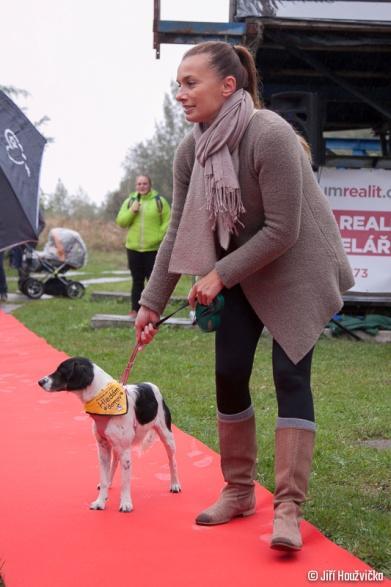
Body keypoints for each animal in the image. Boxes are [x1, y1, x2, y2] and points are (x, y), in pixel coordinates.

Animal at [39, 356, 181, 512]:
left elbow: (125, 481)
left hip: (167, 436)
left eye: (62, 370)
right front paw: (101, 501)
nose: (40, 382)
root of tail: (150, 385)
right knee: (114, 464)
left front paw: (126, 503)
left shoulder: (125, 450)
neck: (101, 401)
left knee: (172, 461)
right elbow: (104, 478)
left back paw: (175, 484)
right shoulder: (103, 447)